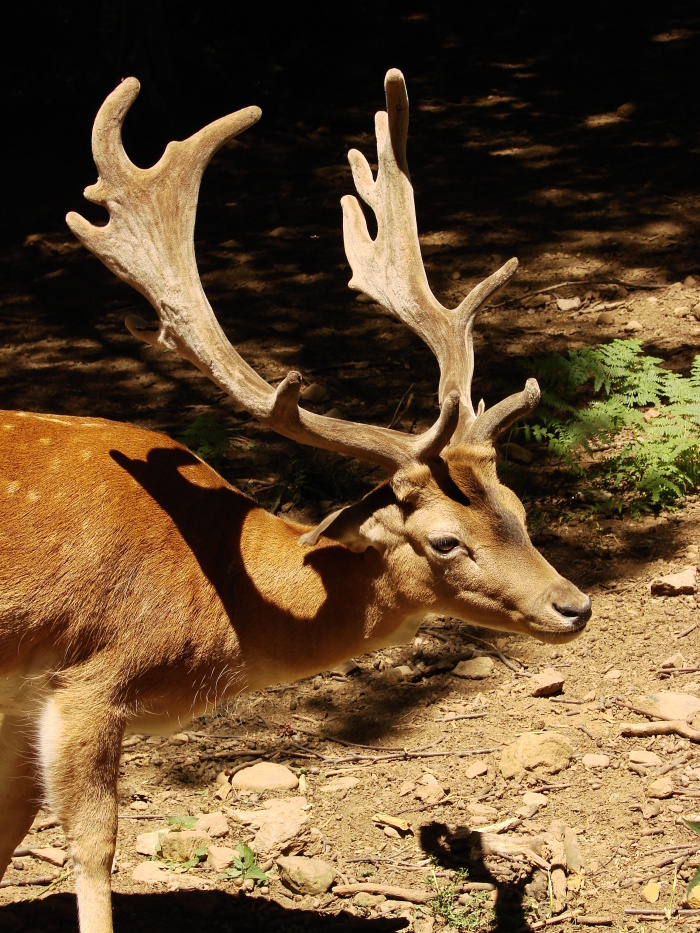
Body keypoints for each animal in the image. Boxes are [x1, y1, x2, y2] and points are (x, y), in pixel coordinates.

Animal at [0, 73, 592, 932]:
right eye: (445, 539)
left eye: (516, 505)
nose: (575, 604)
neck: (220, 601)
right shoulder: (87, 677)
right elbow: (93, 845)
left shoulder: (20, 695)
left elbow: (6, 830)